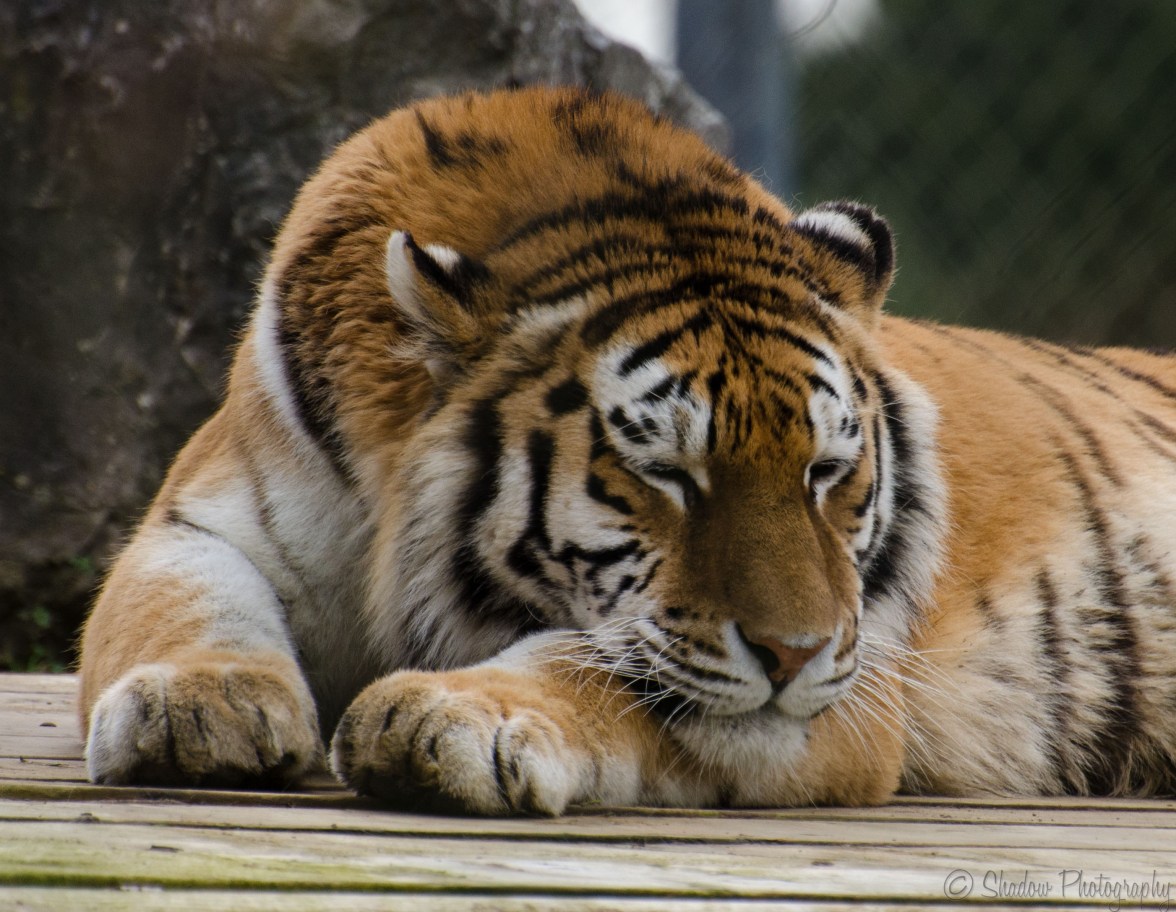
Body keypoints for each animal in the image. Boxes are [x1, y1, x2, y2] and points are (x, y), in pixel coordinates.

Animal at [78, 86, 1176, 814]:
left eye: (826, 473)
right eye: (667, 477)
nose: (796, 652)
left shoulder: (848, 691)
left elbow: (598, 665)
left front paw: (452, 716)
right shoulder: (198, 518)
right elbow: (182, 600)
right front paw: (203, 705)